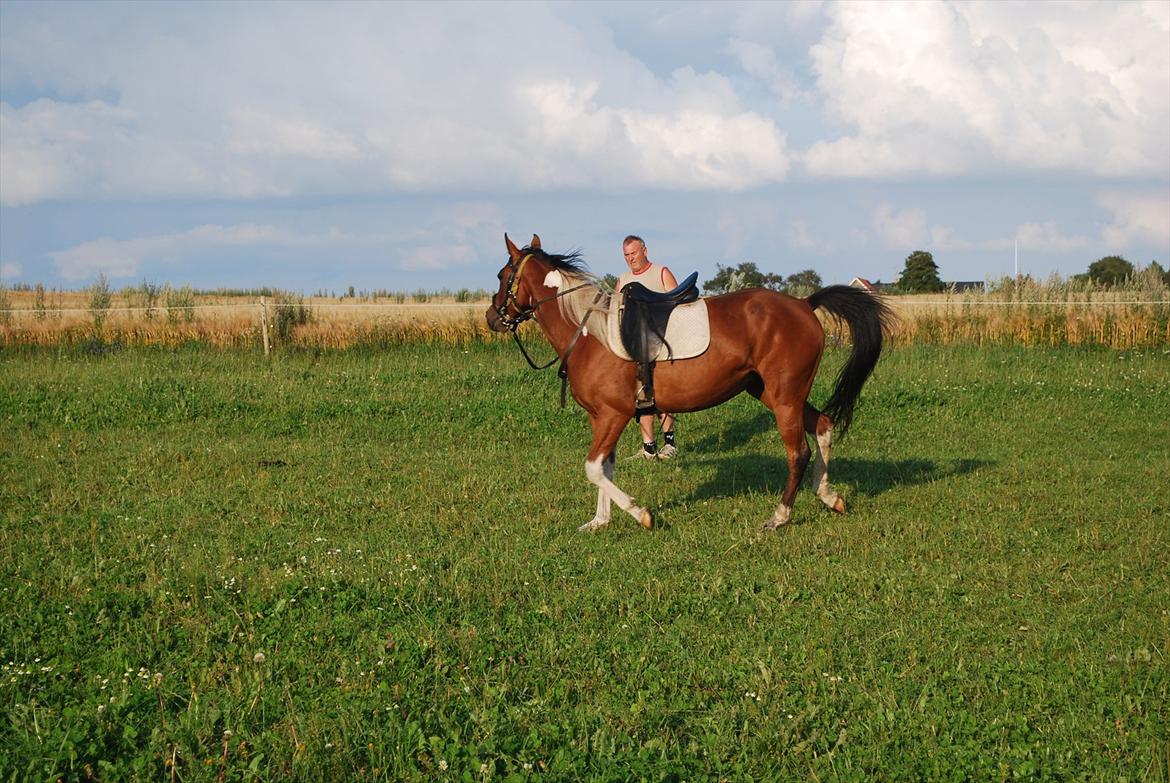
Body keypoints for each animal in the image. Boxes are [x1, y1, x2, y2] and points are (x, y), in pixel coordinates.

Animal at [486, 233, 894, 532]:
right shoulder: (602, 418)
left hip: (784, 398)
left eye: (503, 277)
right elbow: (604, 467)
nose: (492, 317)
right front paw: (599, 522)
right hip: (771, 392)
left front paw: (641, 514)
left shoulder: (614, 415)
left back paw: (779, 517)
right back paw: (829, 496)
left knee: (798, 453)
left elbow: (592, 468)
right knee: (823, 425)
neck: (590, 331)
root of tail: (804, 305)